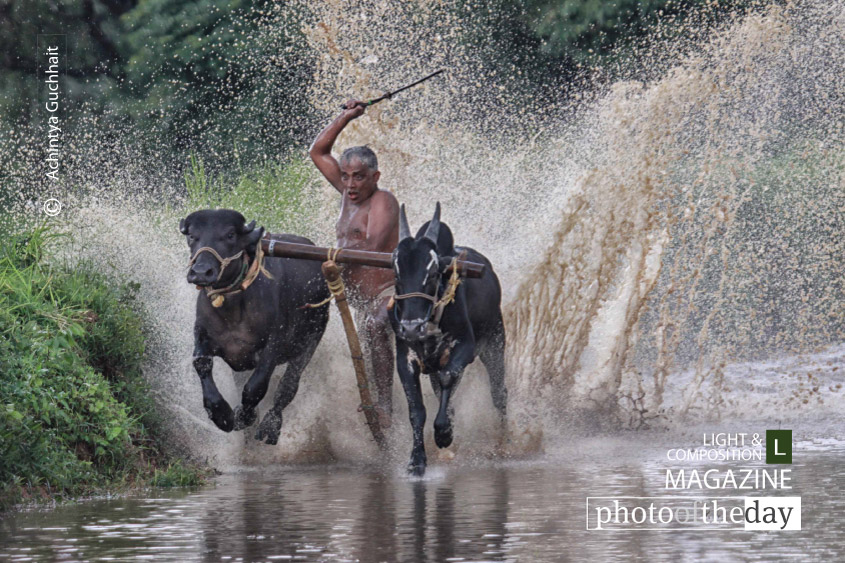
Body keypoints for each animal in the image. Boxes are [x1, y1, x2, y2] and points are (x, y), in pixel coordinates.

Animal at [179, 208, 330, 446]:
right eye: (192, 235)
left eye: (230, 234)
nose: (202, 272)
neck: (232, 309)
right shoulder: (203, 337)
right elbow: (202, 365)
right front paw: (222, 414)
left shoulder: (272, 347)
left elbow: (255, 386)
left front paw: (245, 416)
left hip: (312, 338)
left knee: (288, 386)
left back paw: (271, 425)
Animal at [390, 203, 508, 476]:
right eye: (397, 275)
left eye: (433, 273)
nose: (412, 327)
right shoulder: (404, 358)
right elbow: (417, 410)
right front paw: (417, 460)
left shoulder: (465, 347)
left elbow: (448, 379)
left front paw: (444, 433)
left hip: (495, 343)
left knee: (499, 393)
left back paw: (504, 442)